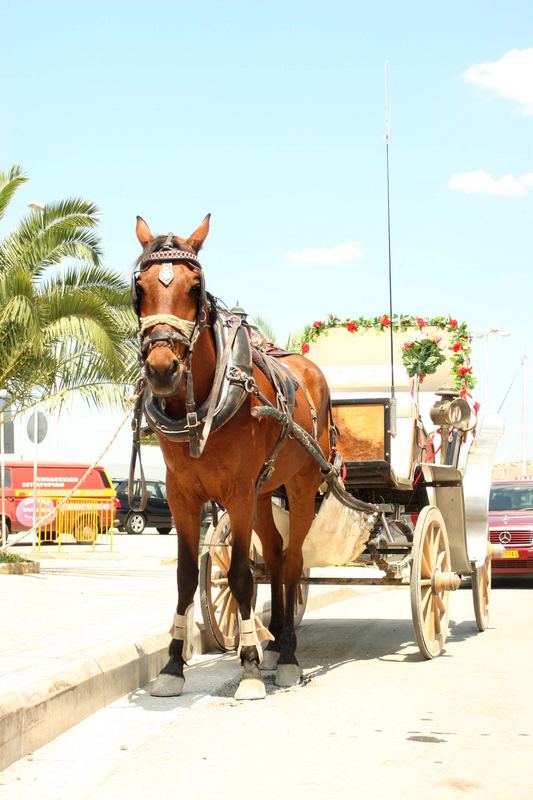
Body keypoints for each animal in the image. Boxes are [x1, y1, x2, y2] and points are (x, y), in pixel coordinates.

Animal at [133, 216, 332, 696]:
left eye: (195, 287)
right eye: (139, 287)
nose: (162, 369)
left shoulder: (237, 494)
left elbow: (241, 575)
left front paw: (249, 667)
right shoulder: (182, 496)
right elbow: (187, 577)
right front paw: (172, 666)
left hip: (300, 486)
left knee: (293, 561)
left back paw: (288, 655)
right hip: (263, 494)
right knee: (276, 558)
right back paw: (276, 640)